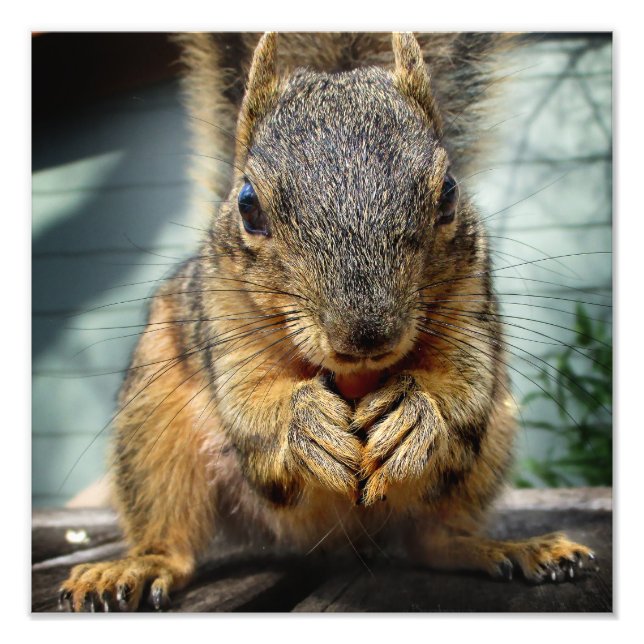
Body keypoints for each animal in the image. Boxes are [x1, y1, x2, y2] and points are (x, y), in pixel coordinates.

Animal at [59, 32, 597, 612]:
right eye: (248, 205)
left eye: (450, 192)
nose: (365, 333)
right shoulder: (223, 317)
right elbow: (249, 400)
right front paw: (303, 422)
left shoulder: (471, 302)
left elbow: (463, 383)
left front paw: (417, 413)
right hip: (152, 430)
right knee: (170, 534)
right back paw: (133, 566)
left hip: (482, 456)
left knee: (434, 539)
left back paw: (511, 548)